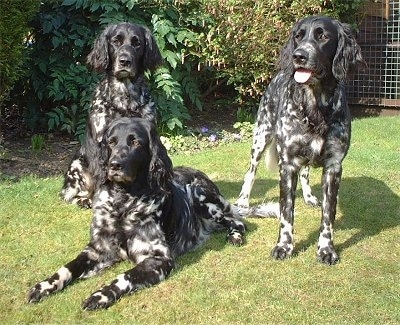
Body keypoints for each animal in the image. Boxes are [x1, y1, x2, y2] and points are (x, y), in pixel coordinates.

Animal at [28, 116, 245, 308]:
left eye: (135, 142)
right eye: (111, 142)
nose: (114, 165)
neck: (123, 203)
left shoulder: (158, 258)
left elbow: (124, 277)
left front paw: (101, 295)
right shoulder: (97, 249)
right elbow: (68, 267)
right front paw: (45, 285)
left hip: (199, 193)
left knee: (238, 221)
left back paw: (235, 236)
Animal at [61, 21, 161, 208]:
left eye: (137, 43)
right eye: (116, 41)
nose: (125, 61)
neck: (124, 99)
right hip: (77, 165)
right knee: (69, 195)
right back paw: (84, 199)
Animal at [238, 15, 366, 264]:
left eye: (323, 36)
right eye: (298, 35)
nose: (299, 56)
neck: (315, 108)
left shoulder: (333, 167)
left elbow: (328, 216)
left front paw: (326, 249)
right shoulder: (287, 165)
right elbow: (286, 213)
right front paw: (284, 246)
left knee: (306, 172)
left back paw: (308, 196)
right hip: (261, 137)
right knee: (251, 172)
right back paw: (243, 201)